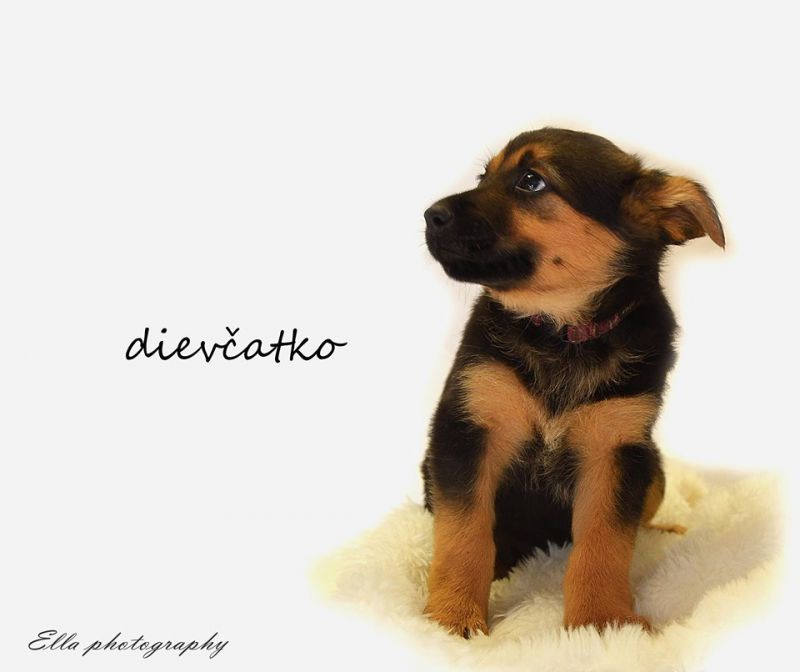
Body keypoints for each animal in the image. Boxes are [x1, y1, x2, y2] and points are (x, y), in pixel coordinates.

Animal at [421, 127, 724, 637]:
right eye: (484, 176)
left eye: (531, 180)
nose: (429, 216)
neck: (561, 332)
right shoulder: (467, 430)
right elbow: (464, 532)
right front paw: (452, 617)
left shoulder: (614, 448)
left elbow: (604, 542)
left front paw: (602, 623)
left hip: (652, 467)